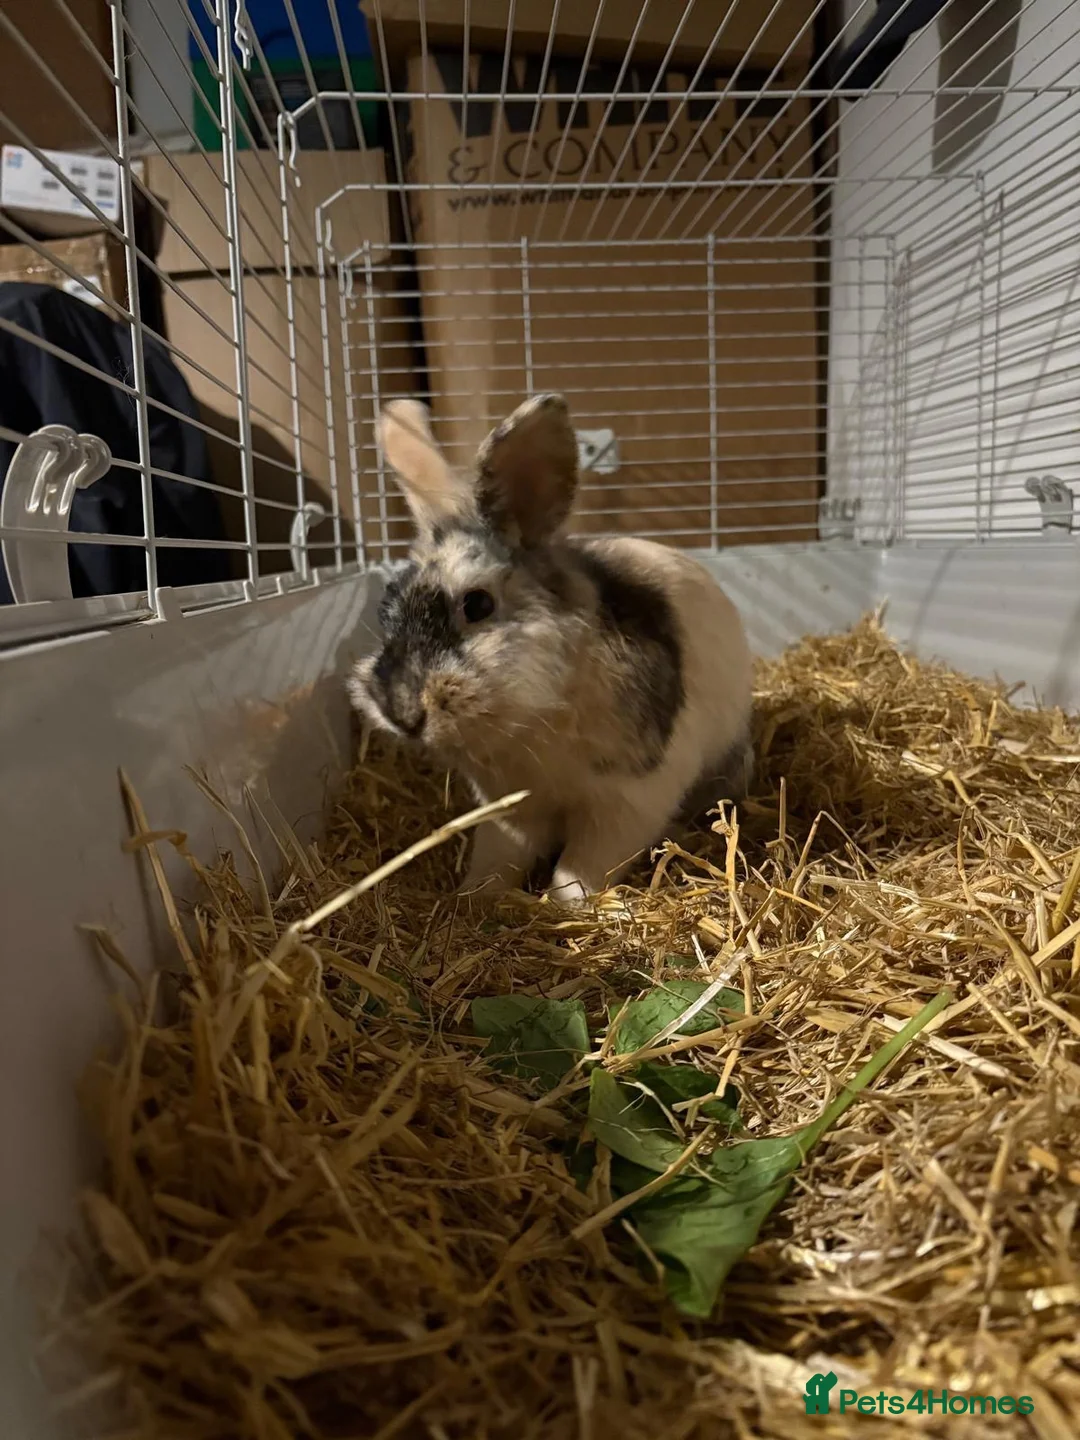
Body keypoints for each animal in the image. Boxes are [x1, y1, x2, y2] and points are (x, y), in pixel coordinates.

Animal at [347, 393, 754, 906]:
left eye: (477, 604)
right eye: (386, 607)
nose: (401, 711)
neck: (532, 718)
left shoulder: (627, 802)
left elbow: (580, 870)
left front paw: (562, 907)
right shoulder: (508, 808)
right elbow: (497, 859)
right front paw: (473, 900)